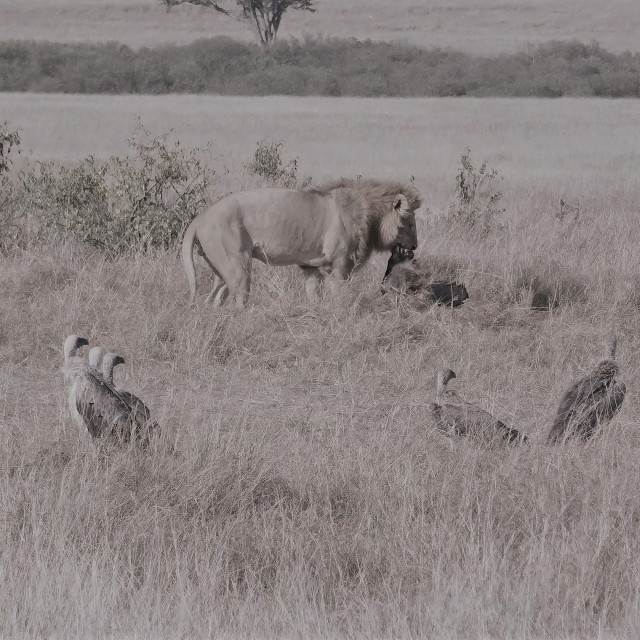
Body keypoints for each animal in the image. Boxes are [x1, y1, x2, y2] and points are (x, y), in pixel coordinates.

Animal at [181, 178, 420, 308]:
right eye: (410, 225)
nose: (416, 247)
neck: (369, 214)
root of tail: (198, 219)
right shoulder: (340, 265)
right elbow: (340, 297)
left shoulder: (311, 267)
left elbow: (313, 294)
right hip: (238, 265)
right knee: (239, 299)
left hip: (219, 270)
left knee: (213, 299)